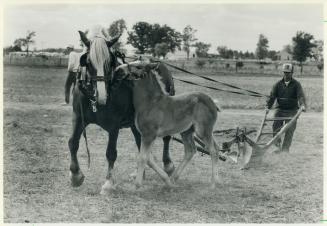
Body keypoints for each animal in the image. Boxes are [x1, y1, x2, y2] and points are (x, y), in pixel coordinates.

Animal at [68, 30, 176, 194]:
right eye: (88, 62)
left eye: (110, 61)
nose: (101, 95)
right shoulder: (78, 118)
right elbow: (73, 143)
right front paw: (76, 175)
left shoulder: (114, 125)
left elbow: (111, 152)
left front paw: (108, 183)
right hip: (137, 122)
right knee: (140, 142)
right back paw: (140, 173)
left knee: (166, 137)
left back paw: (168, 165)